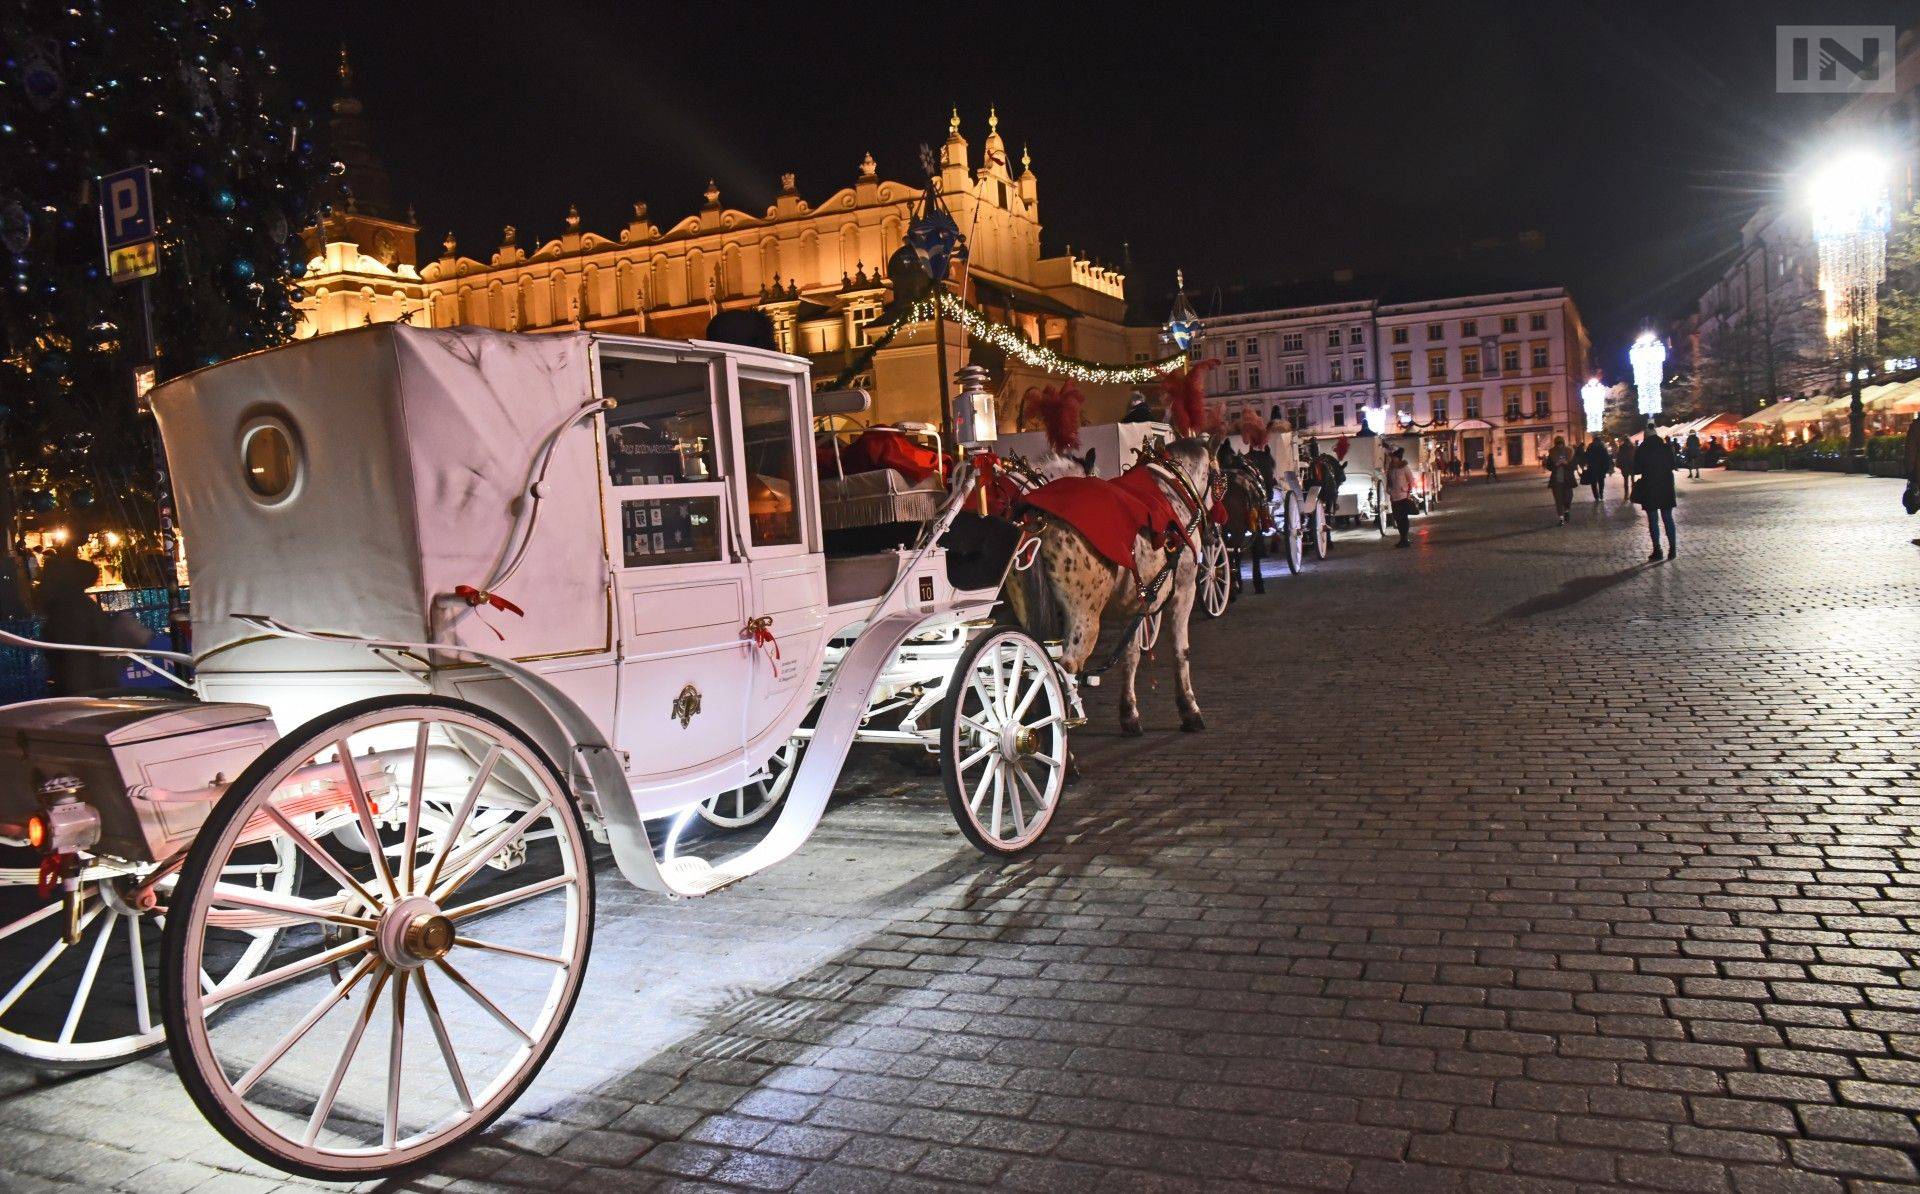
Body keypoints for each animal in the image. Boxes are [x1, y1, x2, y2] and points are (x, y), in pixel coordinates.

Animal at [1006, 439, 1213, 740]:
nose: (1212, 533)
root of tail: (1039, 520)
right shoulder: (1184, 592)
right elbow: (1180, 651)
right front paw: (1189, 709)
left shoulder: (1136, 601)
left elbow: (1130, 655)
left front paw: (1129, 714)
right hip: (1084, 619)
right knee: (1063, 670)